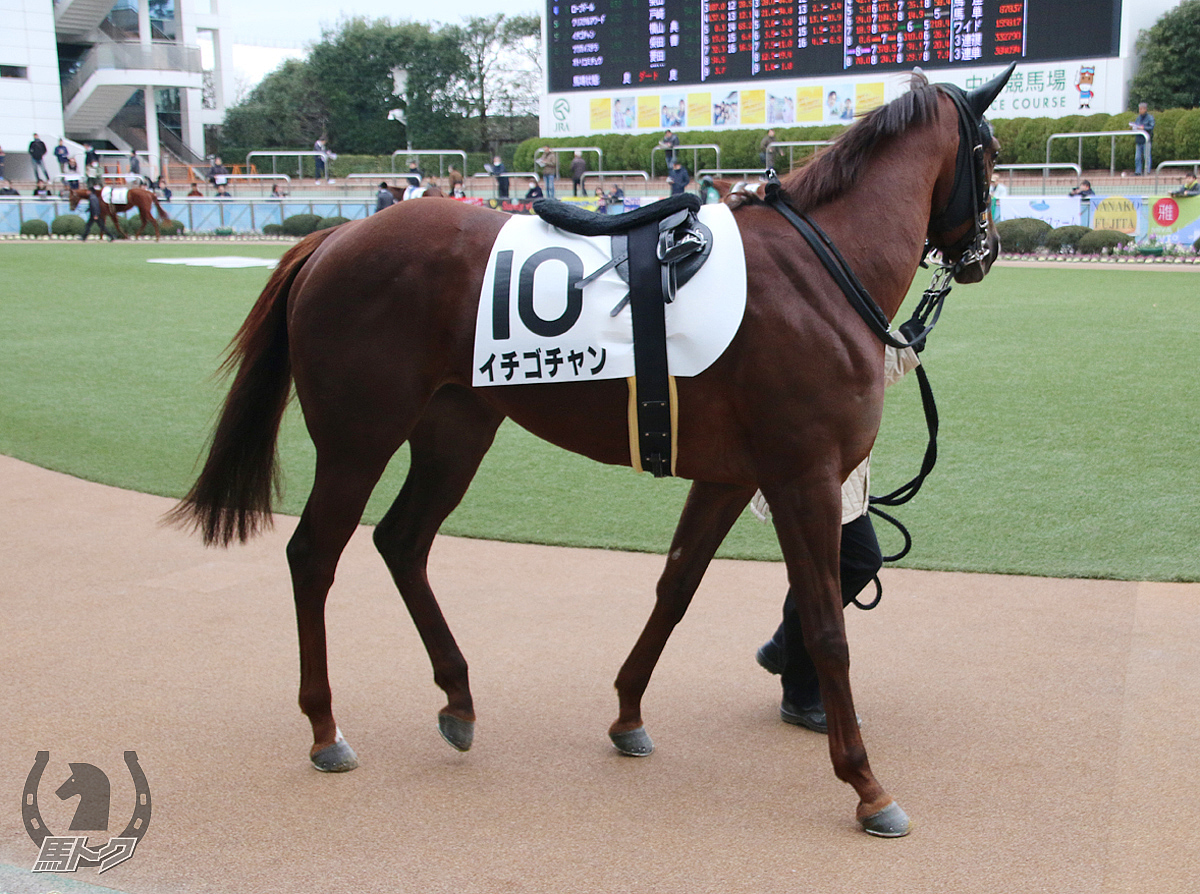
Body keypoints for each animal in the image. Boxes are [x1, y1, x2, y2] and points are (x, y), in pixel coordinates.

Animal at [169, 66, 1012, 835]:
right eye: (993, 153)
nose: (986, 252)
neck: (822, 270)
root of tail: (333, 236)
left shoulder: (730, 476)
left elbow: (676, 588)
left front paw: (628, 713)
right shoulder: (802, 474)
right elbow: (828, 626)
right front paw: (866, 784)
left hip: (457, 428)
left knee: (402, 541)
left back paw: (458, 698)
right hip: (358, 437)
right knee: (314, 555)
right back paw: (325, 729)